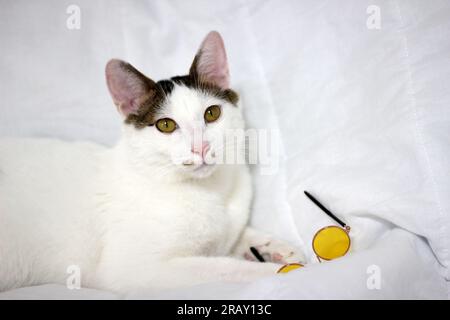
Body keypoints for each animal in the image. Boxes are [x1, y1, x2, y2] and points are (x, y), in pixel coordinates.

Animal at [0, 31, 304, 292]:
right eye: (166, 125)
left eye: (212, 113)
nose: (201, 147)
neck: (209, 192)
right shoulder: (134, 269)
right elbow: (222, 267)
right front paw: (279, 272)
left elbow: (235, 236)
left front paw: (277, 247)